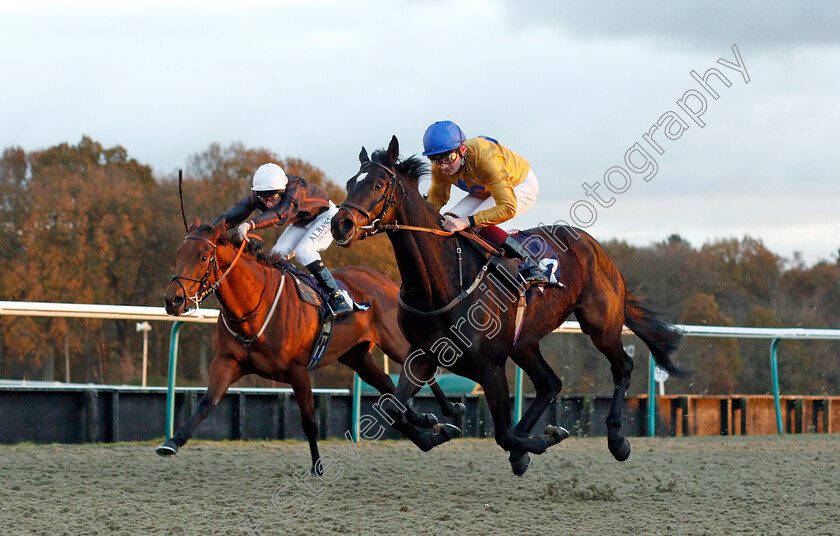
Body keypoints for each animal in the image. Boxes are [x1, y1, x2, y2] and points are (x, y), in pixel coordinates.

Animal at [157, 215, 460, 474]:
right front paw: (172, 442)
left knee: (423, 371)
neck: (253, 307)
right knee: (389, 390)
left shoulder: (298, 370)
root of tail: (381, 277)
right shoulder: (227, 362)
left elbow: (310, 422)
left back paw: (449, 411)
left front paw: (317, 467)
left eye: (203, 256)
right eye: (178, 254)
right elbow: (206, 403)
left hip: (395, 341)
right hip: (356, 356)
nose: (173, 300)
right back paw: (430, 429)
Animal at [330, 136, 688, 476]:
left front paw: (542, 440)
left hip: (600, 324)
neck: (439, 284)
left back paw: (616, 439)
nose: (340, 224)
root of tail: (594, 245)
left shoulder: (490, 366)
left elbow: (502, 434)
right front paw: (441, 428)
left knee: (622, 367)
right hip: (525, 342)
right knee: (549, 384)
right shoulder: (423, 356)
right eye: (350, 182)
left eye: (378, 184)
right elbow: (393, 408)